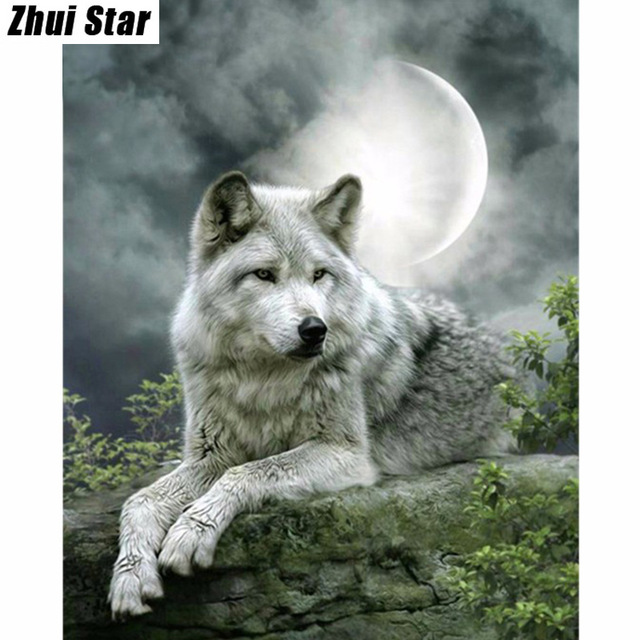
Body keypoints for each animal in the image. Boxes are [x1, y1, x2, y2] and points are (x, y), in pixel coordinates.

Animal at [108, 171, 516, 619]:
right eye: (264, 275)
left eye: (319, 275)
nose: (315, 329)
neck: (263, 379)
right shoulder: (211, 455)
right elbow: (139, 501)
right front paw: (130, 577)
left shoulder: (346, 454)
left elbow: (248, 472)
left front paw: (190, 531)